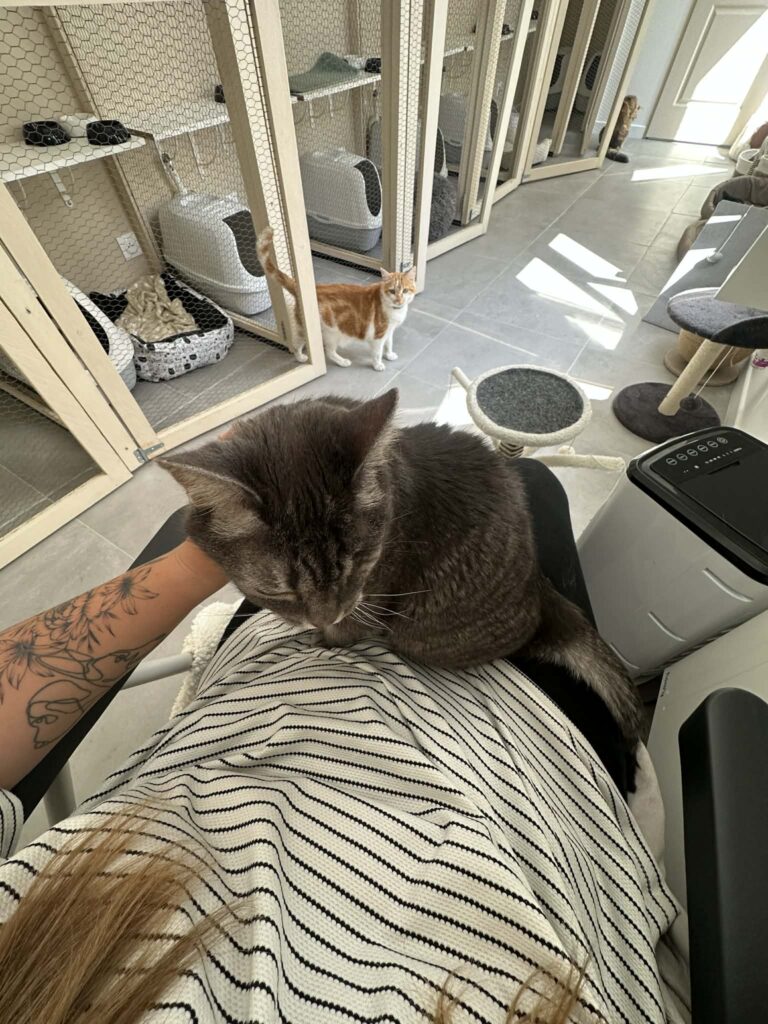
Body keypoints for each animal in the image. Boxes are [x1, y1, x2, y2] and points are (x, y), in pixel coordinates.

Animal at [160, 390, 640, 741]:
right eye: (280, 590)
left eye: (361, 563)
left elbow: (351, 627)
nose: (328, 615)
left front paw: (326, 638)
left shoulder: (376, 594)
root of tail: (542, 596)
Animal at [257, 227, 416, 371]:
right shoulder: (378, 335)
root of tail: (302, 287)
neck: (394, 311)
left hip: (305, 328)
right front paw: (378, 365)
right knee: (328, 351)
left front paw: (389, 355)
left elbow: (389, 344)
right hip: (332, 333)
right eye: (392, 291)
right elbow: (377, 352)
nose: (399, 300)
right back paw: (342, 361)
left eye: (405, 290)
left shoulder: (389, 331)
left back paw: (300, 357)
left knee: (297, 344)